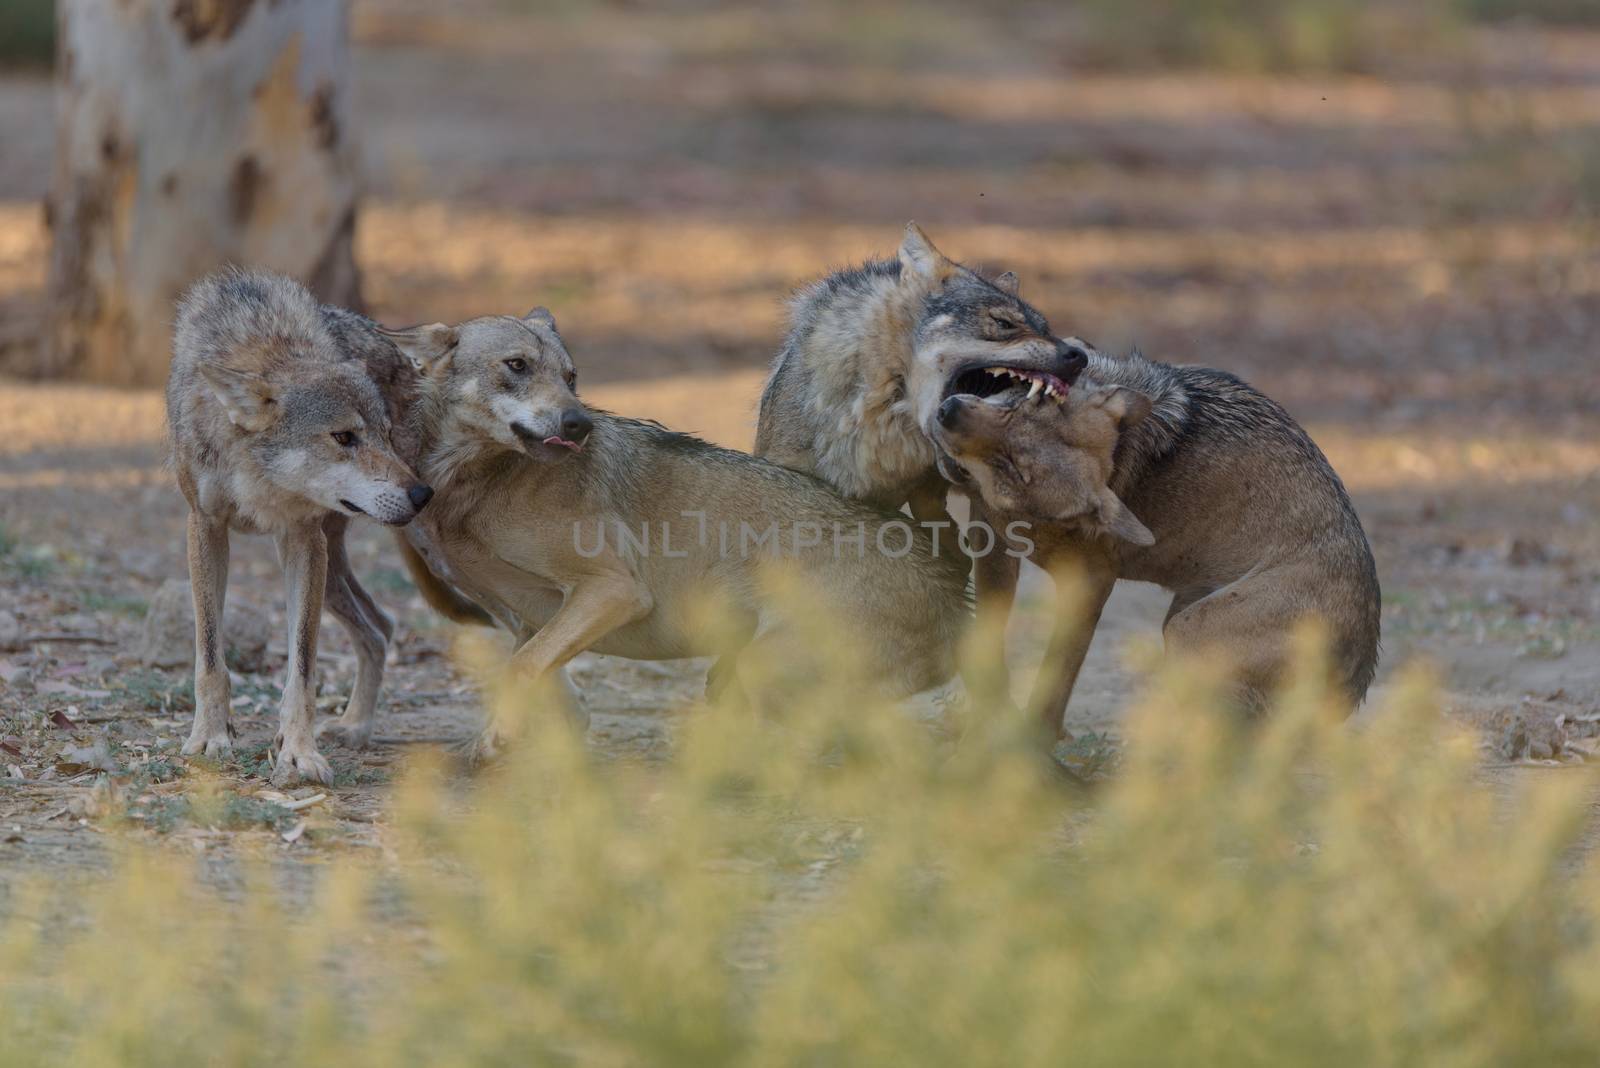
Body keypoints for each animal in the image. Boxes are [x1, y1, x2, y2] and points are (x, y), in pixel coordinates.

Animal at [165, 267, 435, 783]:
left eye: (385, 435)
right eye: (344, 437)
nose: (421, 495)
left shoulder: (302, 538)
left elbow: (303, 669)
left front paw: (300, 753)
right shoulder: (204, 526)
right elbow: (210, 657)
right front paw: (209, 738)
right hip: (332, 574)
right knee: (381, 626)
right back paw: (355, 725)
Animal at [379, 306, 966, 757]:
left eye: (571, 377)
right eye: (517, 366)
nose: (578, 424)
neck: (478, 483)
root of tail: (957, 592)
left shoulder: (614, 590)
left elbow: (522, 669)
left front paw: (496, 741)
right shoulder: (528, 617)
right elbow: (545, 683)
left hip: (763, 667)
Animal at [934, 350, 1382, 735]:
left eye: (1014, 467)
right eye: (1025, 402)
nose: (947, 412)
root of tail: (1357, 680)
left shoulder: (1091, 582)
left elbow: (1056, 677)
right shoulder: (992, 541)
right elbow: (991, 643)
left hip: (1186, 631)